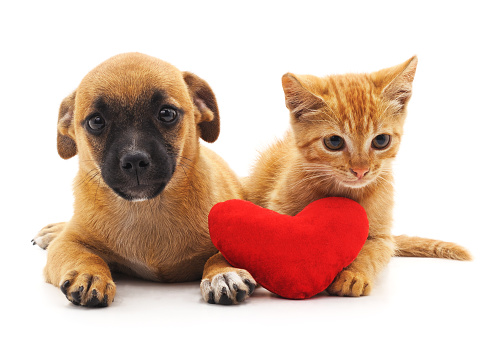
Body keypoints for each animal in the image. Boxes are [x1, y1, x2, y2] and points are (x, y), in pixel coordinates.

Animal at [34, 53, 256, 306]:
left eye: (167, 113)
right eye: (95, 121)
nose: (134, 160)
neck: (147, 210)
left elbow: (221, 253)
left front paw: (223, 273)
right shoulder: (68, 243)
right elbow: (81, 254)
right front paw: (89, 274)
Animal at [244, 57, 470, 296]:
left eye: (381, 141)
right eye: (334, 142)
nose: (360, 170)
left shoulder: (382, 238)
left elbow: (369, 253)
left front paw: (353, 275)